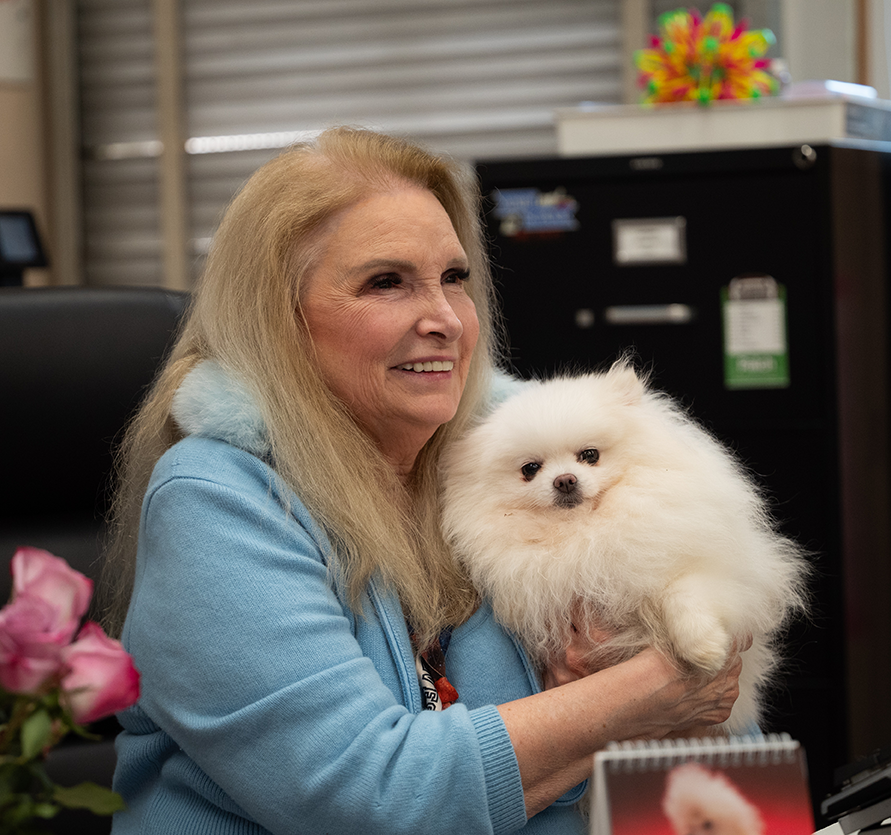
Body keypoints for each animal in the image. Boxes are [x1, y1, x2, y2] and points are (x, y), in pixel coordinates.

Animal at [442, 360, 812, 732]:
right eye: (530, 469)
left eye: (590, 455)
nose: (565, 480)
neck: (586, 531)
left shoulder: (716, 568)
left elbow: (683, 593)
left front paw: (704, 647)